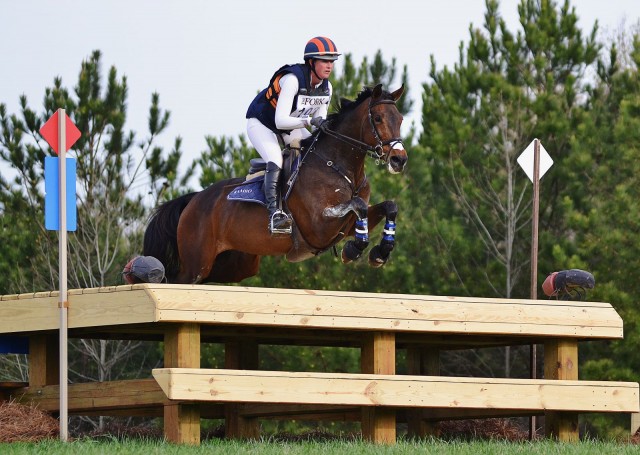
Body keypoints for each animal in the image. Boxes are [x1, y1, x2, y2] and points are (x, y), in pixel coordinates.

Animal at [142, 83, 408, 284]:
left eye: (401, 119)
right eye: (377, 118)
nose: (399, 160)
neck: (339, 165)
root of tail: (193, 200)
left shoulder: (347, 225)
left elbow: (389, 206)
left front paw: (379, 253)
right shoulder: (319, 225)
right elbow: (357, 205)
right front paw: (353, 251)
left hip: (235, 264)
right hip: (196, 264)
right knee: (176, 279)